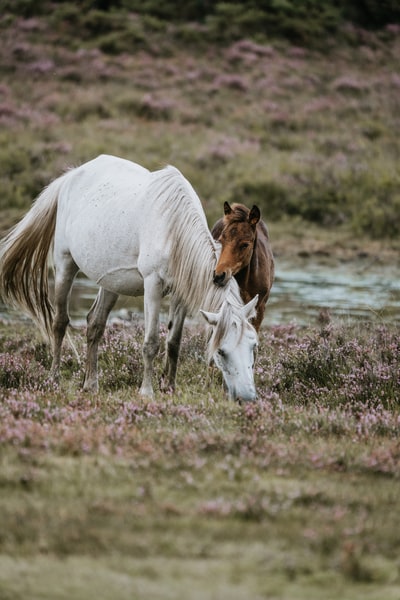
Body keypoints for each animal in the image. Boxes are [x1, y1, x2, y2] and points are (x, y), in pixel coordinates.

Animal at [0, 155, 260, 400]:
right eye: (221, 351)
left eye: (253, 345)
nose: (246, 396)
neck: (173, 229)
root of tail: (70, 177)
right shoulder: (153, 284)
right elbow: (151, 341)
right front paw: (147, 391)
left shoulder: (181, 293)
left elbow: (174, 343)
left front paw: (170, 388)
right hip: (65, 264)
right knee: (59, 323)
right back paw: (54, 379)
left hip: (110, 282)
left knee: (95, 324)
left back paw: (90, 384)